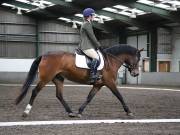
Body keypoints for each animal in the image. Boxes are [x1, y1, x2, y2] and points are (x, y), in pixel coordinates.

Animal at [14, 44, 143, 117]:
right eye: (137, 59)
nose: (136, 73)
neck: (110, 61)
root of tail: (44, 55)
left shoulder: (98, 85)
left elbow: (89, 97)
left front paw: (80, 111)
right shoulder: (110, 83)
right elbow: (119, 96)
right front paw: (129, 112)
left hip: (58, 79)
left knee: (59, 95)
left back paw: (71, 112)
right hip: (46, 78)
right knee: (35, 91)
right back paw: (26, 112)